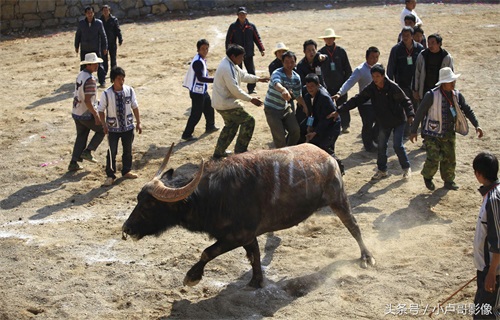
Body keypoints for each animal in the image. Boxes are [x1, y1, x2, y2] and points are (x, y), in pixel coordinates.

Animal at [122, 142, 376, 288]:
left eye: (149, 205)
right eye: (138, 199)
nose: (126, 229)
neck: (215, 195)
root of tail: (329, 156)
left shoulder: (236, 236)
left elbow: (207, 252)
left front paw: (192, 277)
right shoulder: (248, 237)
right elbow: (254, 255)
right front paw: (256, 281)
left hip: (338, 199)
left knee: (354, 226)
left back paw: (367, 257)